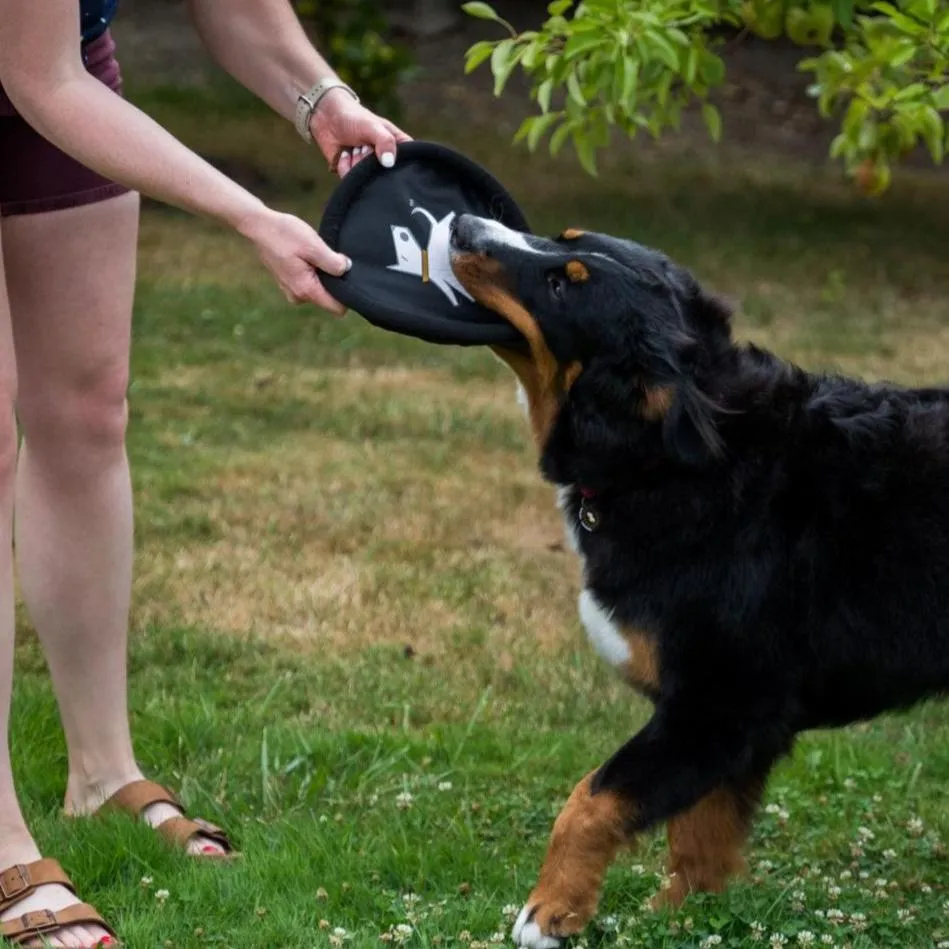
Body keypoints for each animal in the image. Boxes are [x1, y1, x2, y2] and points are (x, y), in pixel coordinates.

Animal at [448, 215, 948, 948]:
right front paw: (686, 915)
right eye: (561, 237)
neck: (665, 460)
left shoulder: (720, 703)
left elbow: (591, 797)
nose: (463, 224)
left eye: (564, 286)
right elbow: (699, 833)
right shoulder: (722, 722)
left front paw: (550, 909)